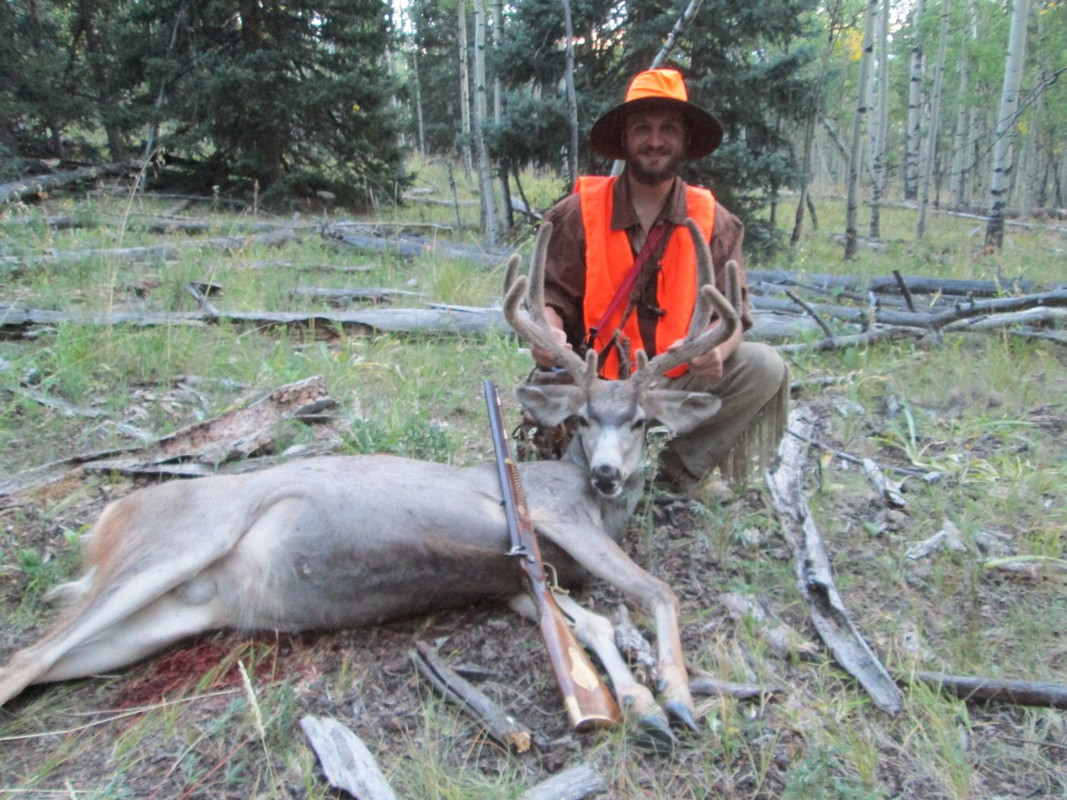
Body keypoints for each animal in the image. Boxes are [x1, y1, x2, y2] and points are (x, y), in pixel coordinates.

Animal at [0, 219, 738, 746]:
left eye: (641, 421)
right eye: (583, 418)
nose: (609, 474)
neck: (594, 503)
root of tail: (106, 522)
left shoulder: (515, 583)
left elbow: (591, 622)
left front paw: (640, 705)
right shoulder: (555, 521)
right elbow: (655, 590)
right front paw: (674, 698)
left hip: (163, 616)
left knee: (41, 662)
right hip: (172, 544)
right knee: (22, 659)